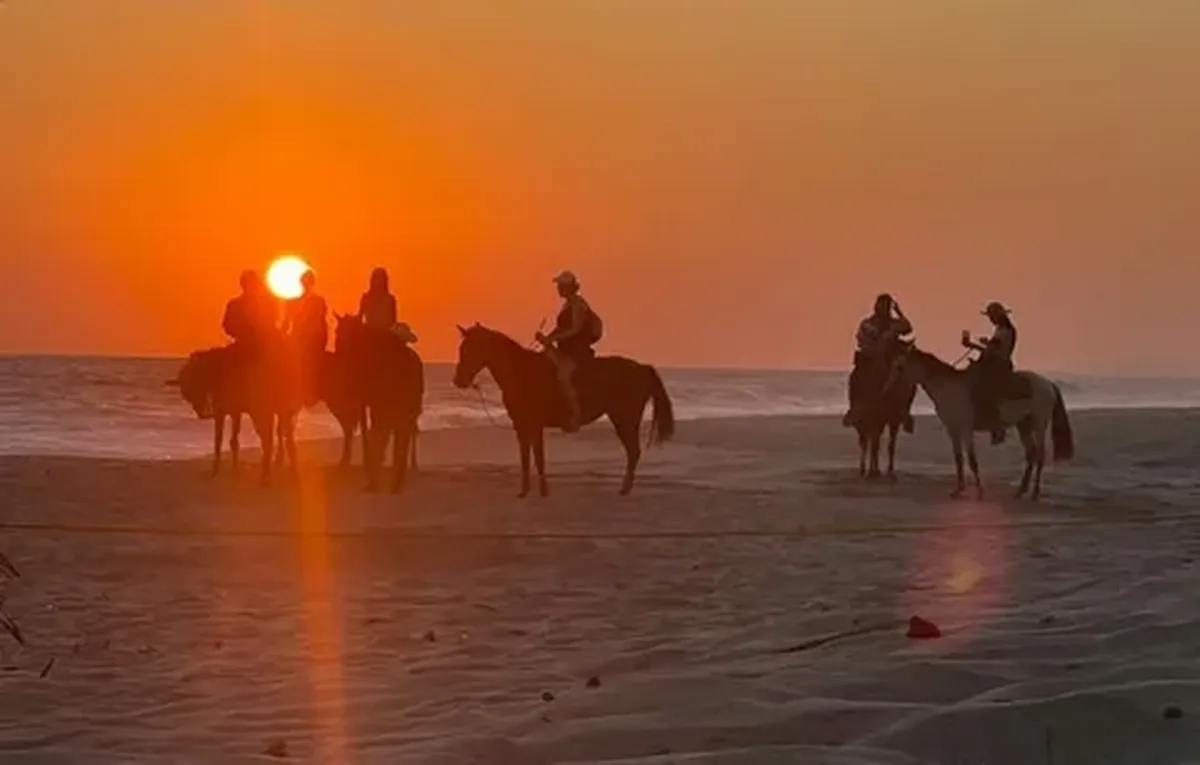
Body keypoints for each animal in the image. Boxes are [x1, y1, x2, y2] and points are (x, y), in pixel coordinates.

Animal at [167, 343, 301, 485]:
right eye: (186, 391)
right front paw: (219, 471)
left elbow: (233, 442)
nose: (202, 413)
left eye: (195, 381)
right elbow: (219, 442)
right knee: (281, 434)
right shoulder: (224, 413)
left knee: (276, 435)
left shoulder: (234, 412)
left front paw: (234, 471)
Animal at [332, 315, 424, 493]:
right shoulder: (372, 405)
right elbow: (373, 434)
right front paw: (373, 477)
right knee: (400, 432)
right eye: (337, 332)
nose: (340, 356)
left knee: (404, 432)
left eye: (351, 333)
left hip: (404, 405)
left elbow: (373, 434)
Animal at [452, 323, 675, 497]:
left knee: (633, 452)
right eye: (461, 349)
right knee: (633, 452)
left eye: (469, 349)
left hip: (624, 420)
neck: (520, 370)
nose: (459, 381)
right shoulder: (522, 426)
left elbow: (538, 458)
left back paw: (624, 489)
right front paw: (524, 491)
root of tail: (642, 367)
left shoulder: (533, 425)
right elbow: (526, 457)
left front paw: (543, 492)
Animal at [886, 343, 1074, 500]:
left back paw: (1034, 492)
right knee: (1032, 454)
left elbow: (972, 459)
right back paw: (1021, 491)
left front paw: (980, 491)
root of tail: (1048, 384)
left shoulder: (965, 429)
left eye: (900, 366)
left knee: (1040, 455)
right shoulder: (953, 430)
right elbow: (958, 458)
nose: (889, 387)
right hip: (1024, 425)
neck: (948, 389)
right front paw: (958, 489)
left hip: (1040, 424)